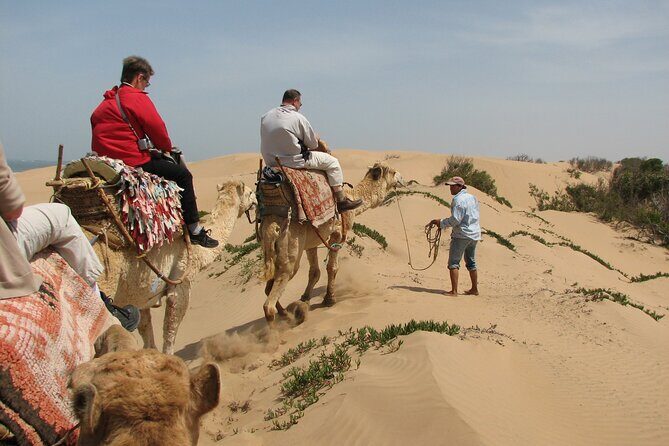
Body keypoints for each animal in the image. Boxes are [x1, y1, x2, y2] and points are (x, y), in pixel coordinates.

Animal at [94, 180, 256, 354]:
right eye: (249, 192)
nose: (256, 200)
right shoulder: (181, 280)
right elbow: (170, 329)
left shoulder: (140, 296)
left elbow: (146, 330)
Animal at [261, 162, 403, 322]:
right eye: (393, 172)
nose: (402, 179)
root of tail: (272, 227)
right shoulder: (338, 233)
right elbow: (332, 267)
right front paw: (329, 299)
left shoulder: (311, 241)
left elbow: (315, 272)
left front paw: (305, 298)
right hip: (291, 249)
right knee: (270, 302)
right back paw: (288, 318)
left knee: (268, 288)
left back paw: (286, 312)